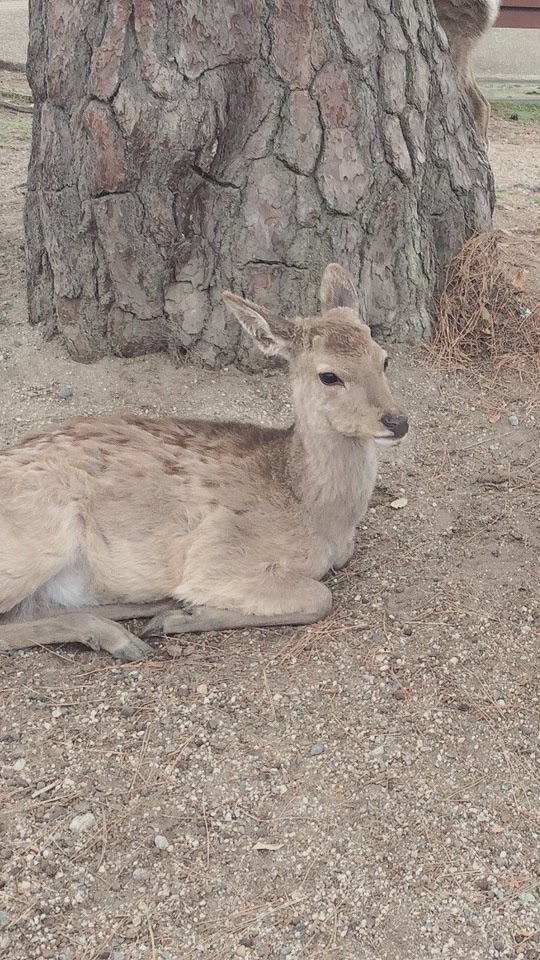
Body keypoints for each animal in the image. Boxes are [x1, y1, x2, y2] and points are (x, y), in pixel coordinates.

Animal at [0, 266, 404, 664]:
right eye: (329, 375)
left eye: (383, 359)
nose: (397, 421)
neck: (320, 517)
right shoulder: (218, 556)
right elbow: (320, 597)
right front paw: (186, 612)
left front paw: (179, 612)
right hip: (38, 540)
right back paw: (125, 634)